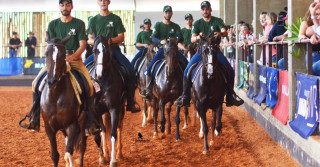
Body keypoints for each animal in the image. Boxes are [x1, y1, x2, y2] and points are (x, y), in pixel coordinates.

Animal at [42, 34, 88, 166]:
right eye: (46, 54)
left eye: (62, 55)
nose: (51, 81)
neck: (55, 97)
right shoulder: (49, 128)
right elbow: (55, 155)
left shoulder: (72, 125)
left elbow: (69, 151)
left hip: (83, 122)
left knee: (82, 146)